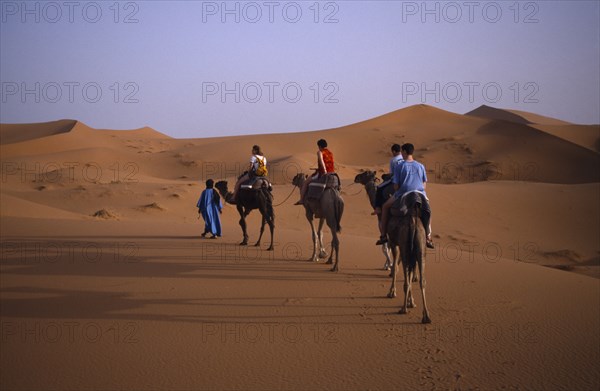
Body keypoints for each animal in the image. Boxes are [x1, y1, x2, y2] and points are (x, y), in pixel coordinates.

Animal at [384, 192, 432, 324]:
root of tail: (413, 222)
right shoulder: (412, 252)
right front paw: (412, 302)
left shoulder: (394, 243)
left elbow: (395, 267)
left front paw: (392, 292)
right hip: (420, 247)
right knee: (422, 280)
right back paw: (426, 316)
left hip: (405, 246)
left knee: (406, 277)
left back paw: (403, 308)